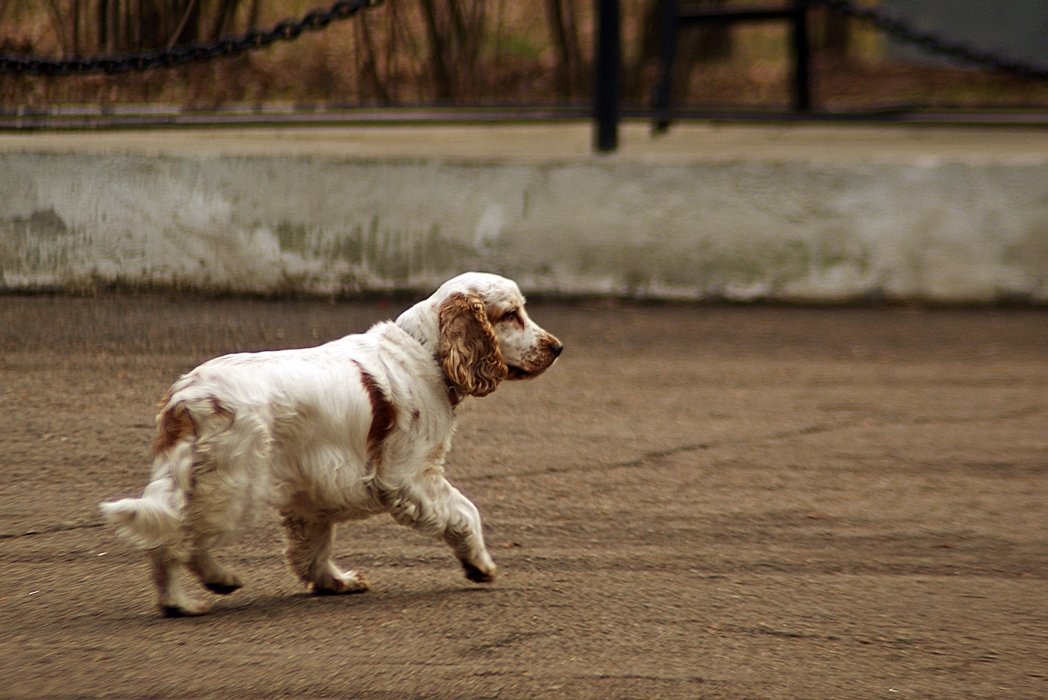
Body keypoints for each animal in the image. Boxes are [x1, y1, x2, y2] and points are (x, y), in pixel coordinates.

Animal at [100, 270, 565, 616]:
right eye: (511, 314)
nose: (557, 347)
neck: (426, 353)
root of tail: (185, 398)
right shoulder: (410, 476)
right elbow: (466, 512)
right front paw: (479, 564)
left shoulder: (313, 484)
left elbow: (314, 544)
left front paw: (334, 582)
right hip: (233, 483)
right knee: (181, 540)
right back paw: (193, 594)